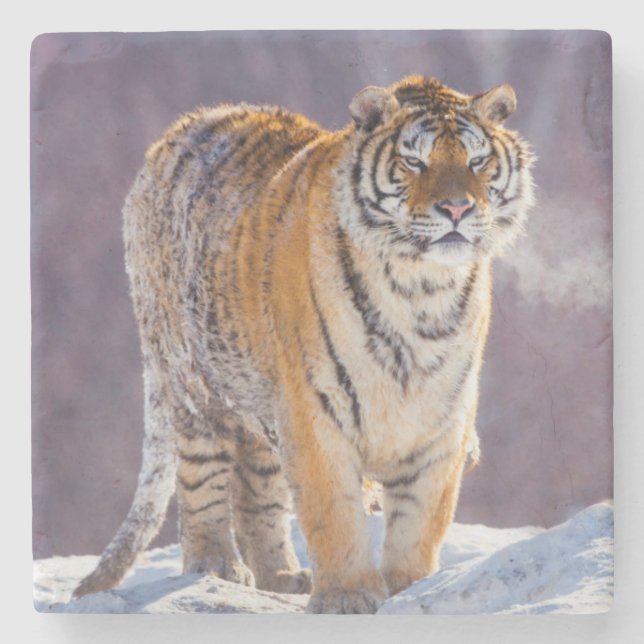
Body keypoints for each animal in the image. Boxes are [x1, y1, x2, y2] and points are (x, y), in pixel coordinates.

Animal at [72, 75, 535, 614]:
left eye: (476, 161)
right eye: (414, 162)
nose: (457, 208)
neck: (420, 290)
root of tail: (175, 133)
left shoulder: (441, 418)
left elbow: (421, 518)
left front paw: (409, 589)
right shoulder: (315, 408)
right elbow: (333, 510)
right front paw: (348, 597)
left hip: (260, 405)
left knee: (257, 490)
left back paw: (282, 576)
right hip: (193, 387)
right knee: (201, 481)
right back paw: (217, 568)